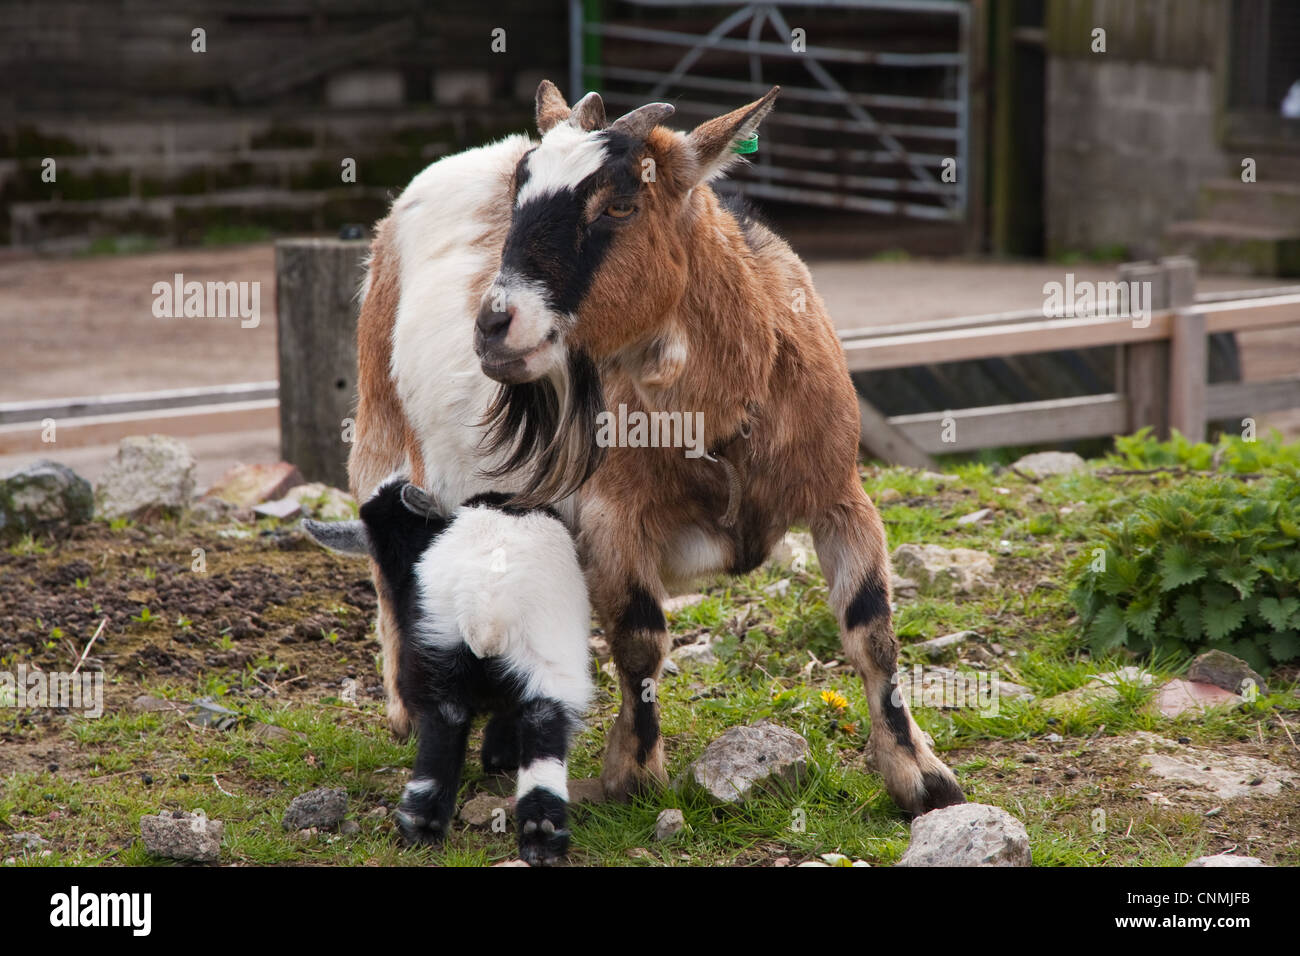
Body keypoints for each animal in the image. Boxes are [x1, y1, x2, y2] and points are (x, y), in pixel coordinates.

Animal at [303, 478, 591, 864]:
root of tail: (487, 613)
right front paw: (500, 757)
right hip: (545, 662)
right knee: (542, 725)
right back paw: (542, 837)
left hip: (436, 650)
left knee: (444, 723)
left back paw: (420, 826)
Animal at [348, 81, 965, 816]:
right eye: (519, 201)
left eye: (621, 204)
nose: (495, 324)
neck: (719, 423)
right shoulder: (614, 516)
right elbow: (640, 639)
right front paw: (635, 774)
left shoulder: (842, 495)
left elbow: (872, 629)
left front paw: (921, 776)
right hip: (379, 429)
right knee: (389, 566)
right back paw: (407, 710)